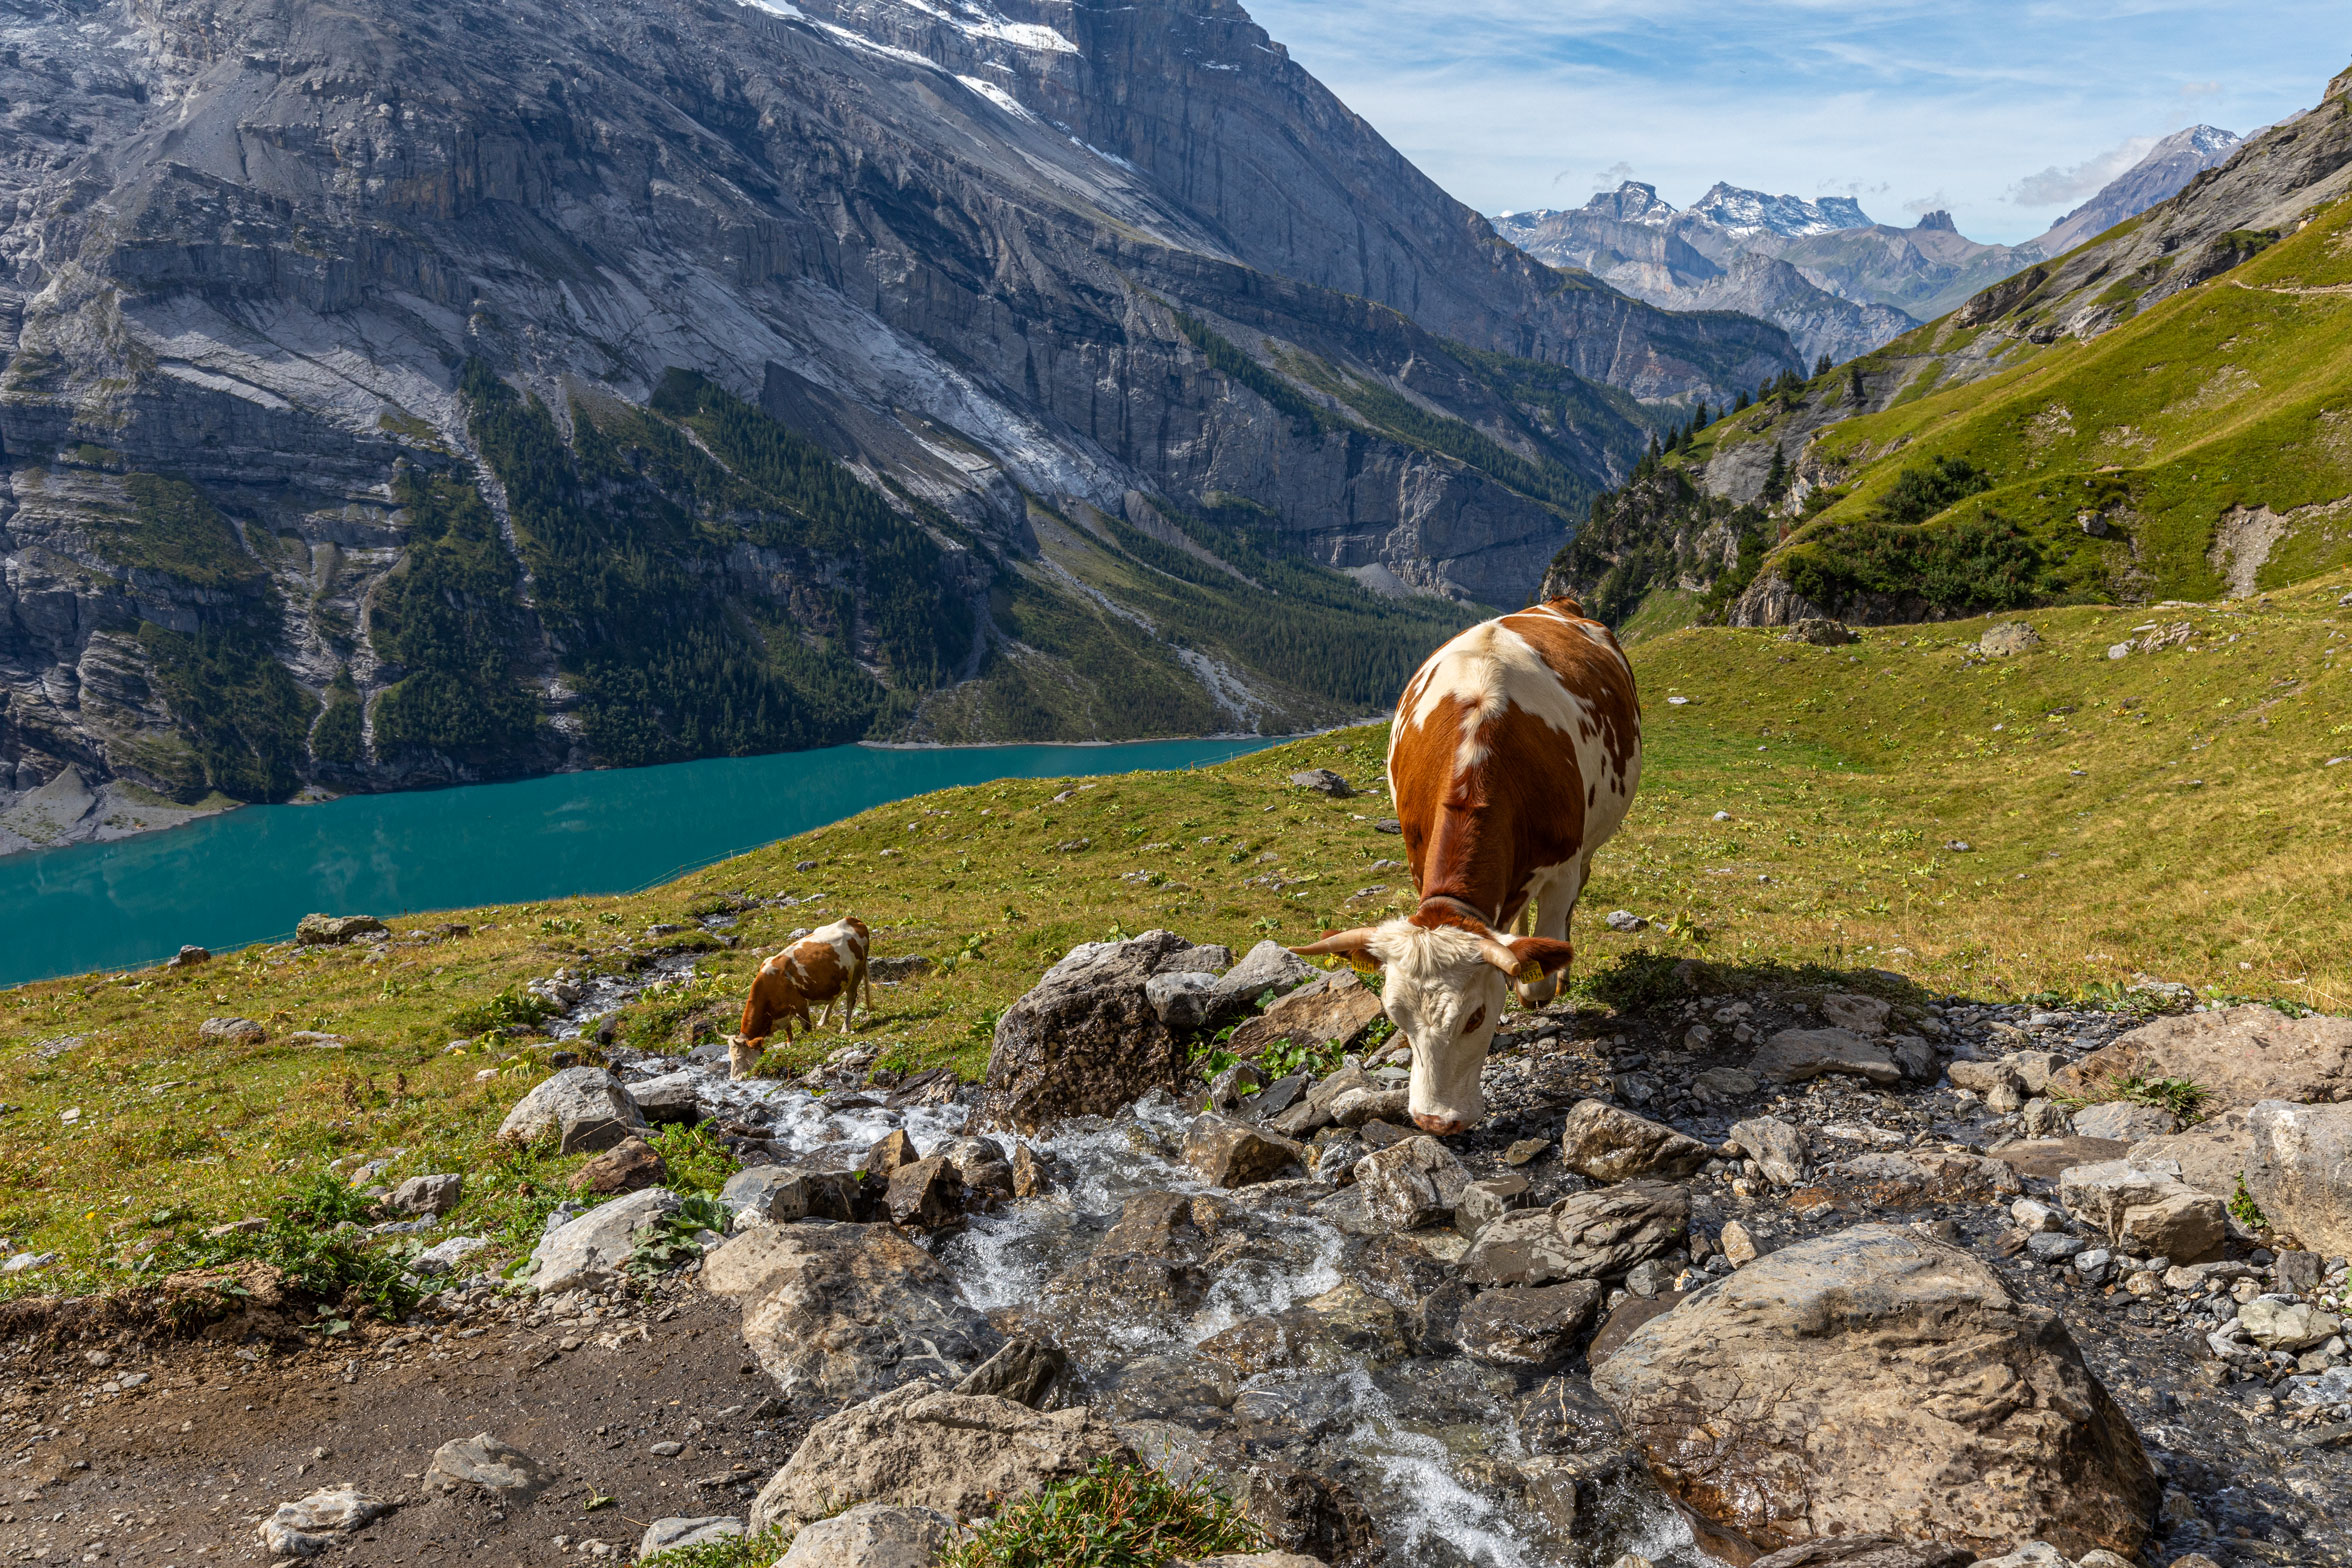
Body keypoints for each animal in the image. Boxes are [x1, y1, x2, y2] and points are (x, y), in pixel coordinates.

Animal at [724, 921, 874, 1081]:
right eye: (730, 1058)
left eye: (740, 1058)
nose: (733, 1079)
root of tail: (852, 920)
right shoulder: (783, 1013)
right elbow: (788, 1030)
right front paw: (790, 1044)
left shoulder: (800, 1004)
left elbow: (806, 1028)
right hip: (837, 979)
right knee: (833, 998)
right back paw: (823, 1021)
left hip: (857, 972)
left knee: (850, 999)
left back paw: (845, 1027)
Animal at [1288, 597, 1636, 1128]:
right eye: (1395, 1017)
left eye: (1475, 1017)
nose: (1434, 1122)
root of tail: (1557, 603)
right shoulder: (1417, 857)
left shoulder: (1562, 866)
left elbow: (1539, 963)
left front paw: (1539, 979)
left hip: (1592, 841)